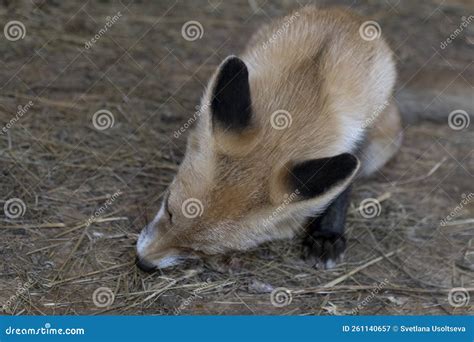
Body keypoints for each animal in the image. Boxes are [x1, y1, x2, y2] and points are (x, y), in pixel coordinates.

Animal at [136, 5, 400, 272]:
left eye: (198, 250)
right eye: (169, 208)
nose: (142, 262)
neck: (300, 92)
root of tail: (345, 11)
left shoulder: (357, 136)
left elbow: (341, 192)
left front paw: (327, 235)